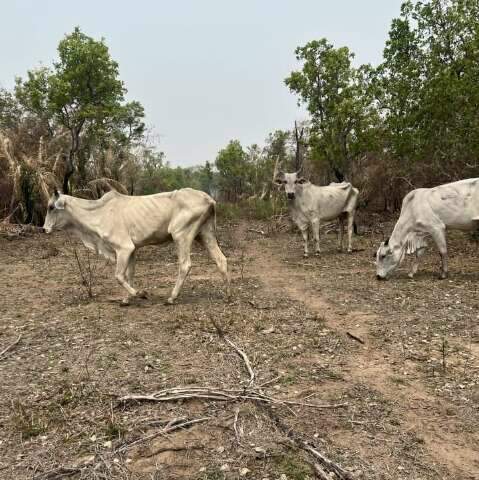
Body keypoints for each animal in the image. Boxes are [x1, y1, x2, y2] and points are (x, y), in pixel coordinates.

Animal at [44, 188, 232, 304]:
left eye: (51, 207)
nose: (44, 229)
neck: (99, 213)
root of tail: (209, 199)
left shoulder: (123, 248)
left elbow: (119, 276)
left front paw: (139, 294)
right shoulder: (132, 250)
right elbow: (129, 274)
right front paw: (126, 299)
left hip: (181, 235)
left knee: (185, 265)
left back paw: (171, 298)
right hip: (205, 234)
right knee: (221, 260)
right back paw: (227, 295)